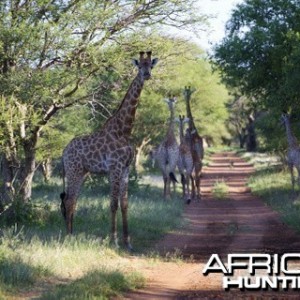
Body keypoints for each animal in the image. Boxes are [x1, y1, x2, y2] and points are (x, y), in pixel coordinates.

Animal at [61, 52, 159, 251]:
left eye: (150, 66)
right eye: (140, 66)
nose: (147, 75)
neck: (124, 130)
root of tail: (64, 152)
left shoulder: (126, 169)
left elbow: (125, 204)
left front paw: (127, 242)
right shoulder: (114, 168)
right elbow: (113, 203)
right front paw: (113, 241)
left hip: (82, 172)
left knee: (73, 200)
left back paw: (72, 234)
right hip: (73, 170)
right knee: (69, 200)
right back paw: (68, 237)